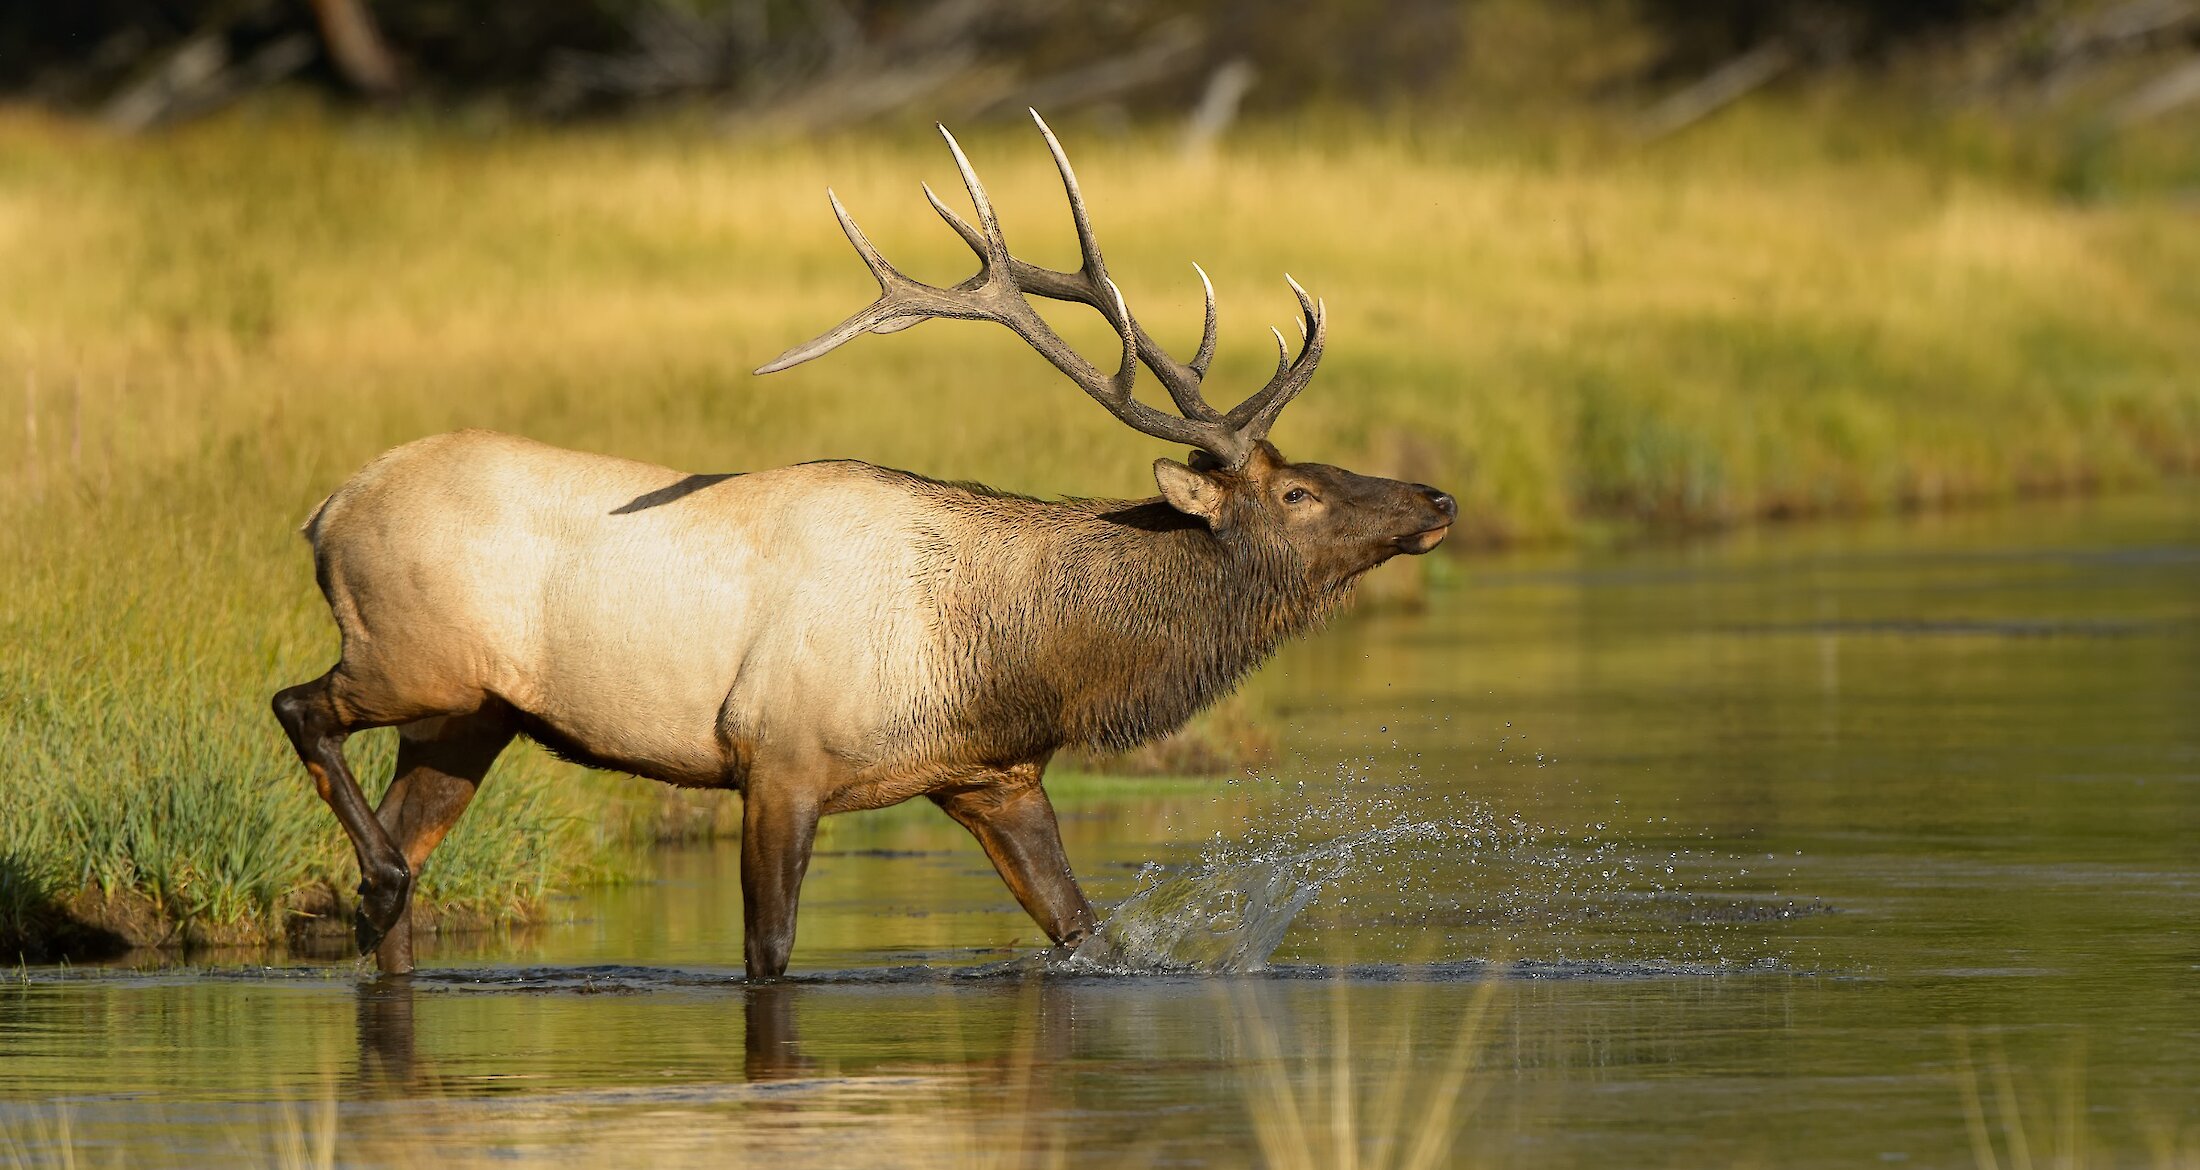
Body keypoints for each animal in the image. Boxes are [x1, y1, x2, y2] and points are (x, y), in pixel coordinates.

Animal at [275, 116, 1452, 976]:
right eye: (1298, 491)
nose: (1436, 497)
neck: (1006, 655)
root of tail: (326, 509)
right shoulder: (778, 756)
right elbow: (770, 953)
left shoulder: (993, 776)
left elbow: (1083, 928)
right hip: (410, 657)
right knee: (298, 709)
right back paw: (376, 874)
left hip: (468, 717)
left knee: (399, 866)